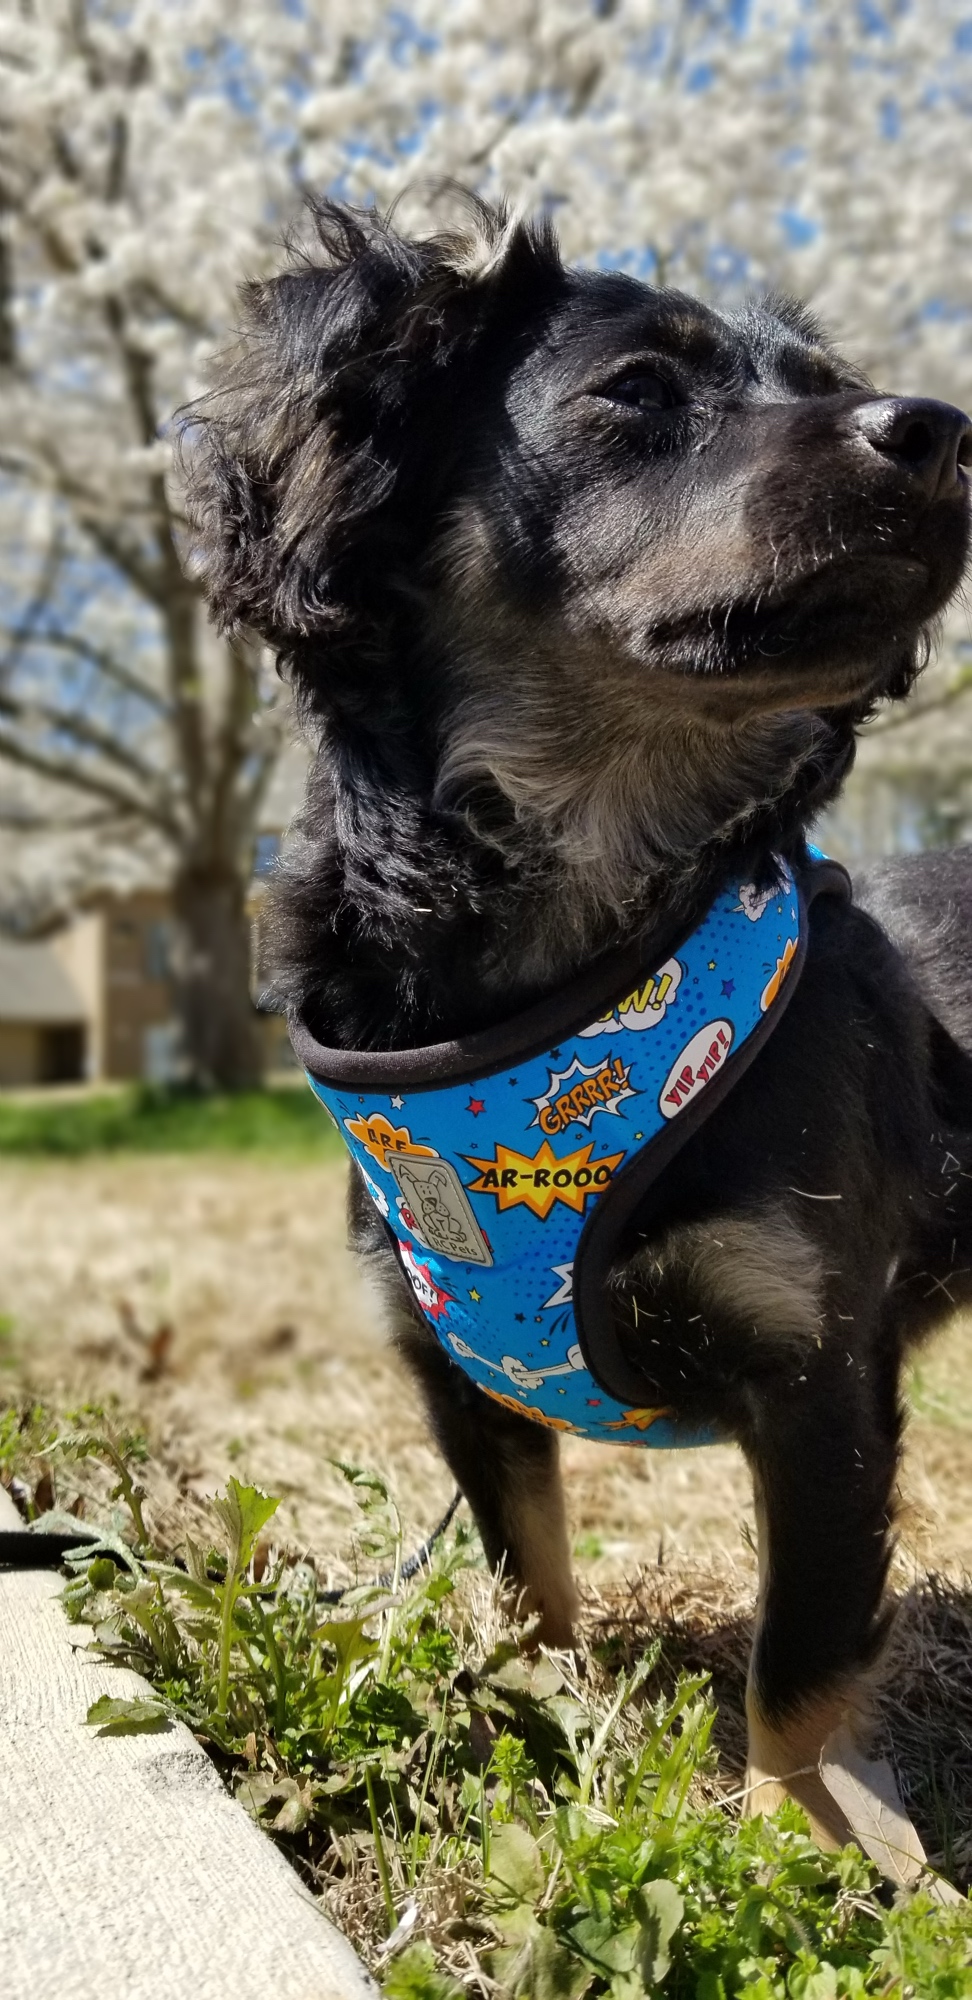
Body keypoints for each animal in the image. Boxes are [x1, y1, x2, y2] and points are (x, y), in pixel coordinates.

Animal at [187, 194, 972, 1848]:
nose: (940, 429)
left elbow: (799, 1662)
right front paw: (544, 1734)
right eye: (637, 392)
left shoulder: (821, 1373)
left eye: (827, 380)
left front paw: (792, 1842)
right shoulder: (455, 1374)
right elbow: (526, 1581)